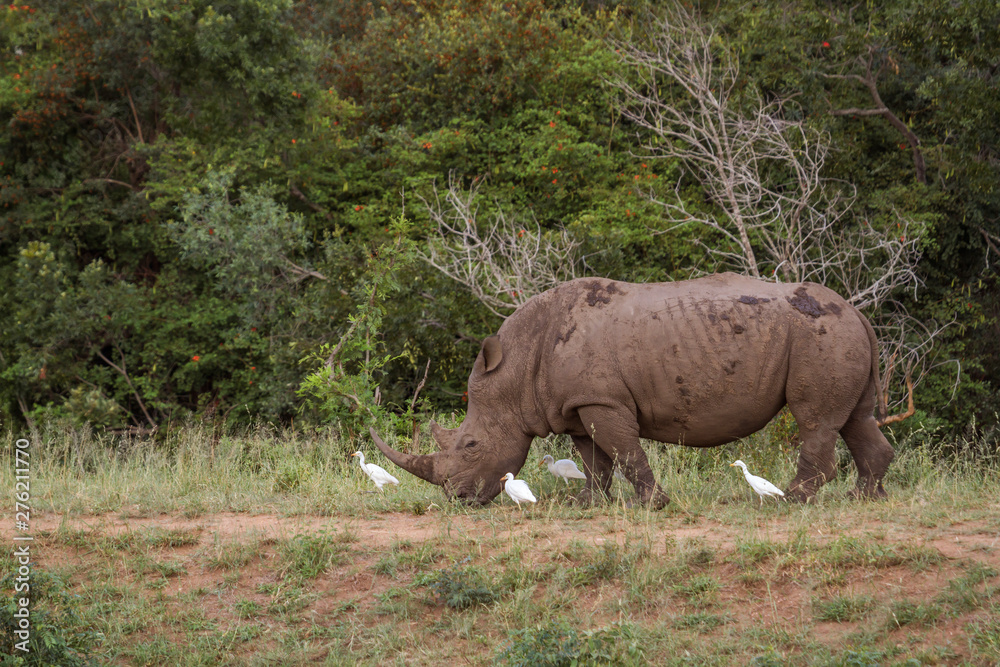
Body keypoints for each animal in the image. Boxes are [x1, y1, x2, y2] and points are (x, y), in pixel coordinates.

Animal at [371, 273, 894, 508]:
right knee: (856, 417)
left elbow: (623, 451)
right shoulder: (576, 402)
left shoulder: (600, 399)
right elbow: (594, 458)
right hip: (837, 336)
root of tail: (858, 312)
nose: (458, 497)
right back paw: (864, 497)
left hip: (818, 336)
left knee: (815, 418)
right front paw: (587, 504)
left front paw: (652, 505)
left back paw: (792, 499)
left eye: (471, 445)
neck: (517, 368)